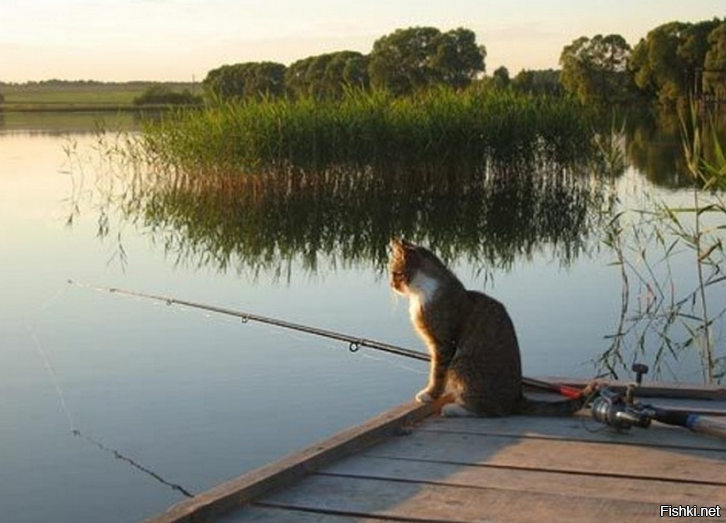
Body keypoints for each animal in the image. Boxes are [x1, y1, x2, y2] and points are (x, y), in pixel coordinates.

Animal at [390, 241, 596, 418]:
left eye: (395, 273)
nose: (391, 285)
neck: (423, 291)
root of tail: (516, 399)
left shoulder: (443, 344)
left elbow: (437, 373)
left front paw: (429, 394)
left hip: (461, 364)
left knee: (490, 410)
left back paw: (454, 408)